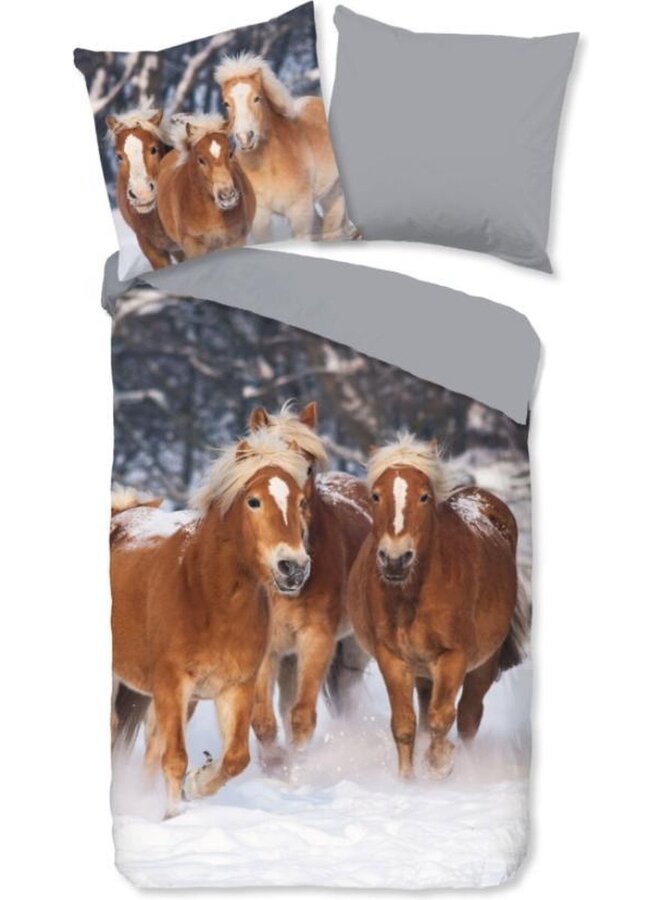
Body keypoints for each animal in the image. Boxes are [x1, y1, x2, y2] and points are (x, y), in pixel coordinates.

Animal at [110, 431, 311, 817]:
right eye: (253, 501)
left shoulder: (234, 687)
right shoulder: (172, 683)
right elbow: (175, 758)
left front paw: (196, 784)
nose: (293, 567)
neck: (208, 596)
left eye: (301, 501)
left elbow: (235, 759)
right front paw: (175, 814)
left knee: (150, 745)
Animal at [215, 53, 350, 242]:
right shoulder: (261, 218)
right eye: (226, 103)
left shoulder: (299, 213)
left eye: (257, 98)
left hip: (333, 196)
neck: (269, 168)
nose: (244, 138)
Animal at [246, 402, 372, 764]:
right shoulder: (269, 648)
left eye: (309, 468)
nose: (293, 566)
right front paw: (274, 765)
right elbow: (264, 720)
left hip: (353, 649)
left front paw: (298, 767)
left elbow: (301, 718)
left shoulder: (316, 640)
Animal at [347, 434, 528, 780]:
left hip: (483, 664)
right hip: (423, 671)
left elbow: (443, 716)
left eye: (424, 497)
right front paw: (407, 780)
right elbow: (405, 724)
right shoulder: (393, 658)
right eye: (375, 495)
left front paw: (440, 764)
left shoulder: (454, 656)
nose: (395, 559)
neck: (413, 597)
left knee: (469, 715)